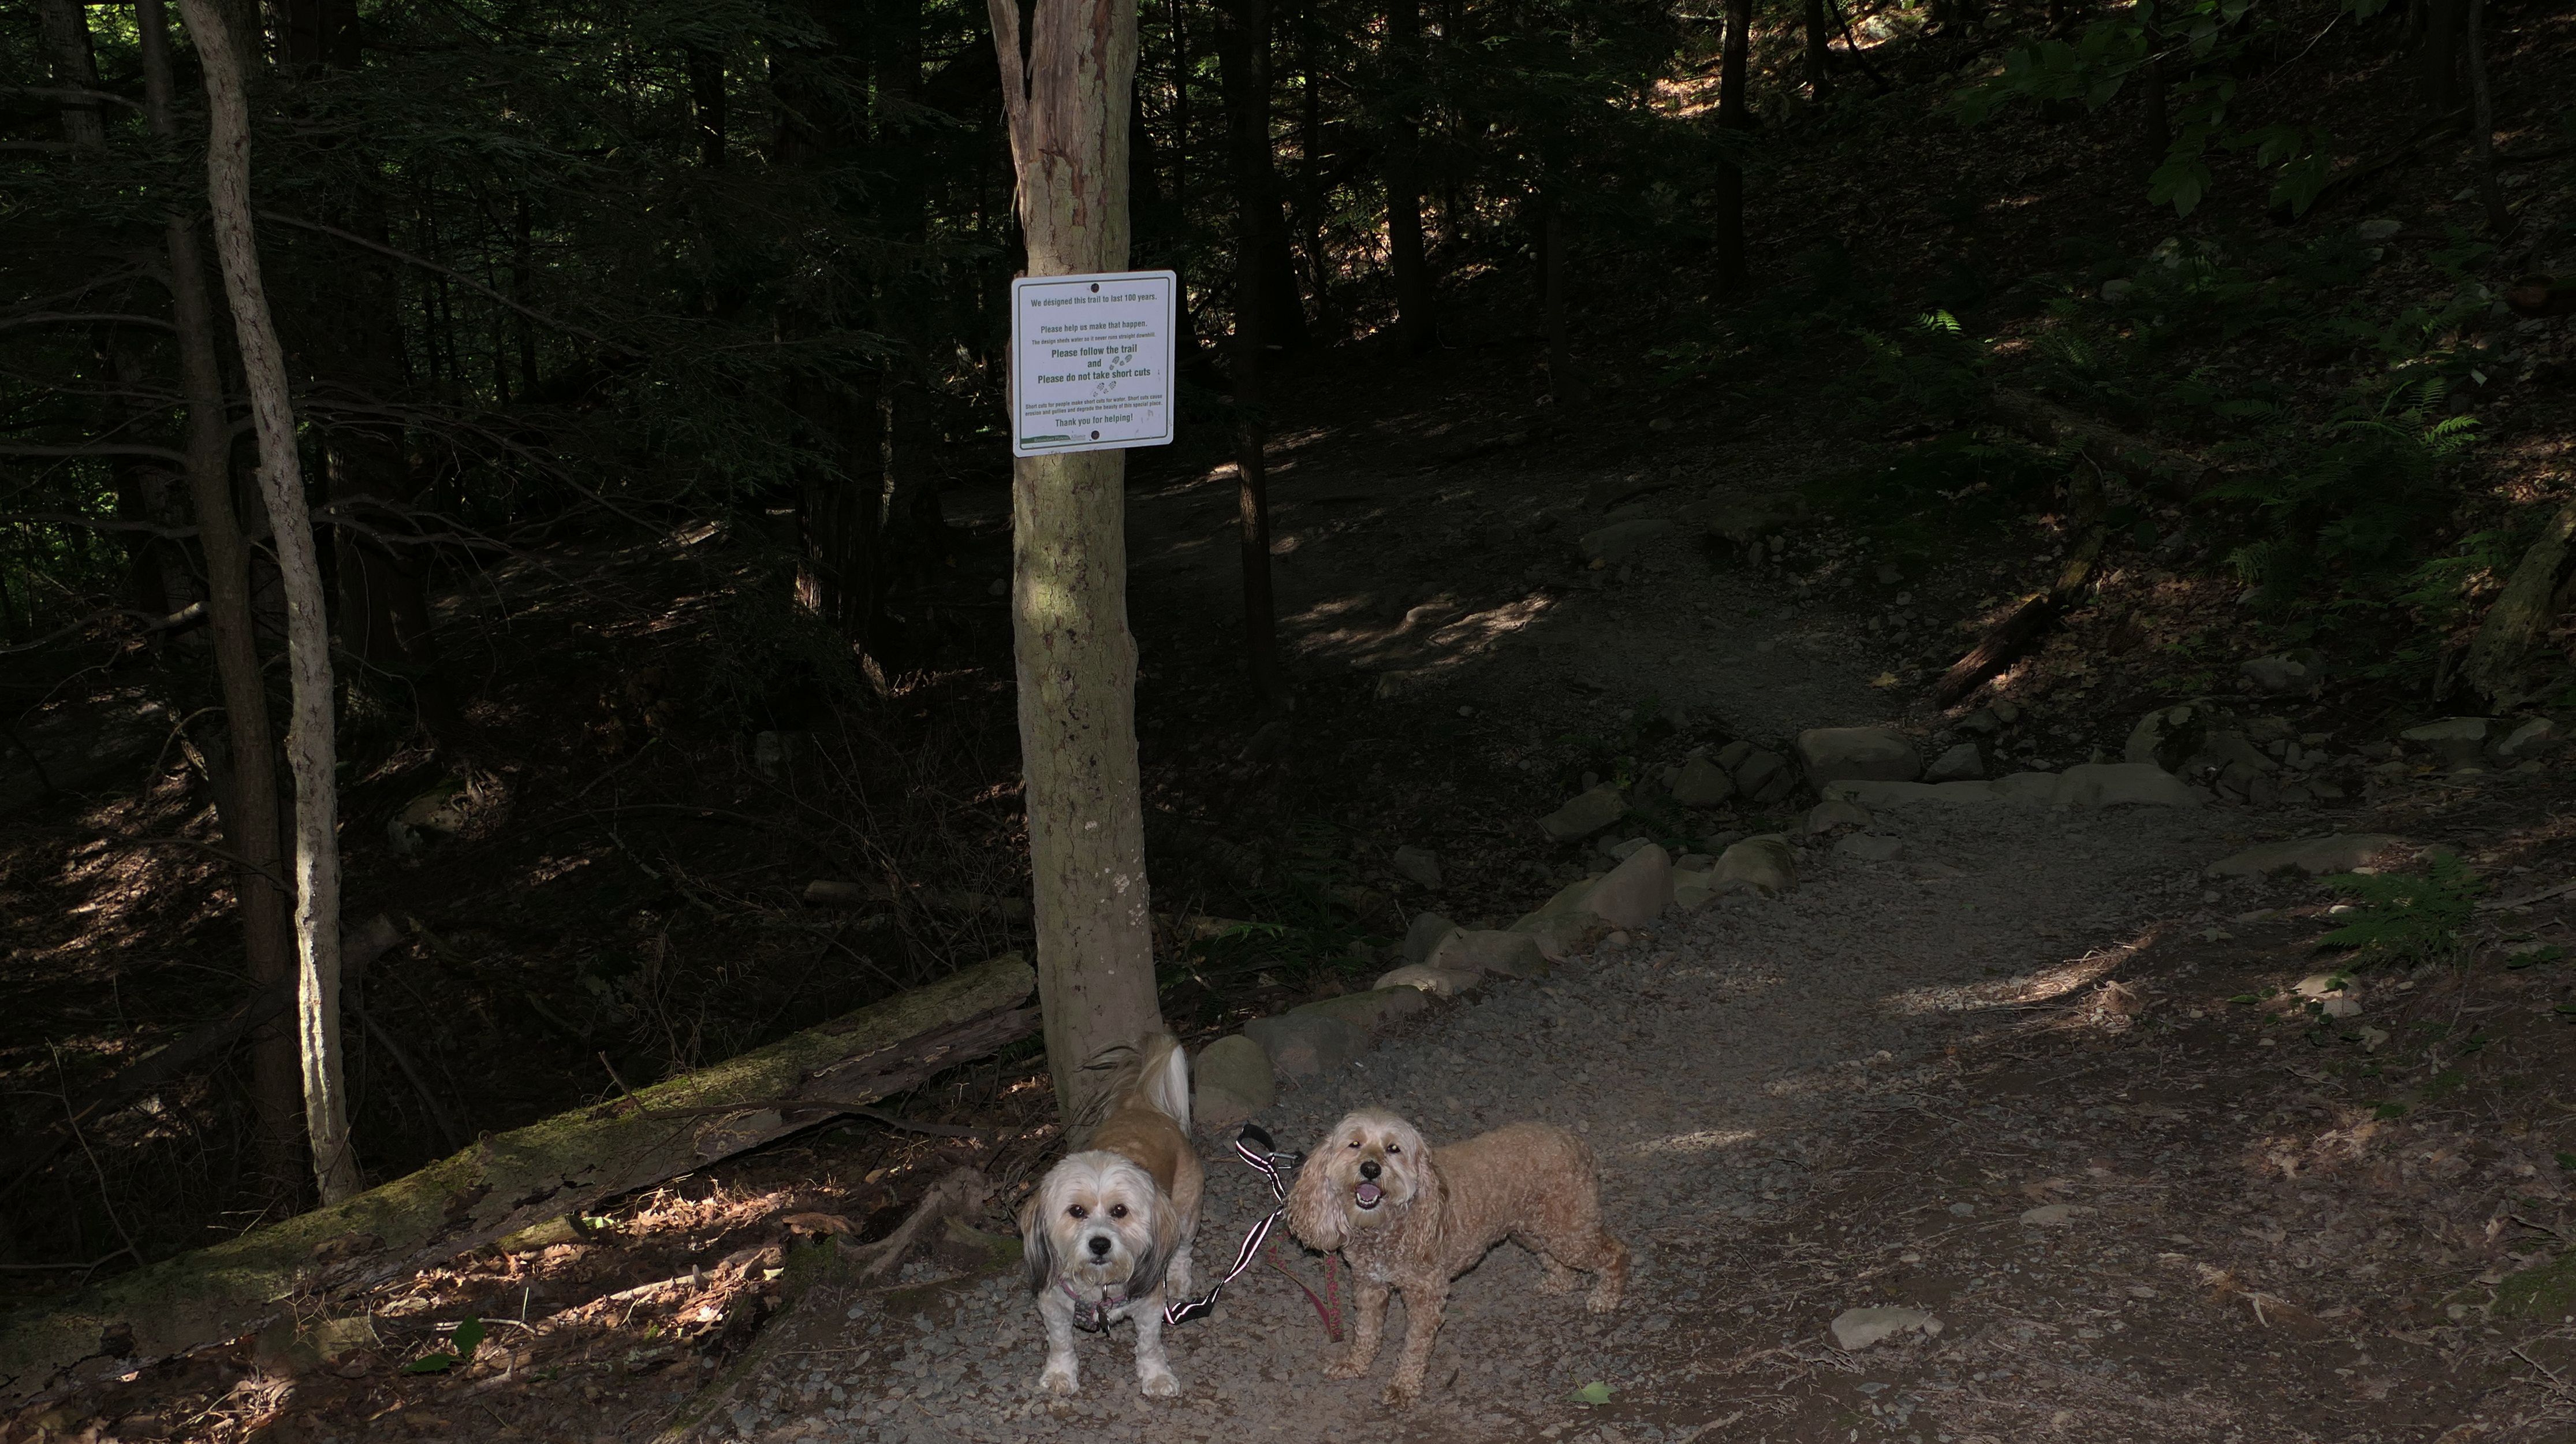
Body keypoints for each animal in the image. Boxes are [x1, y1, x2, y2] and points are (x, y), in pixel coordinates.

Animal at [1017, 1033, 1202, 1398]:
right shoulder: (1054, 1305)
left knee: (1182, 1251)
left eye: (1120, 1211)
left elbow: (1150, 1345)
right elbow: (1061, 1343)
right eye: (1076, 1211)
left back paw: (1177, 1280)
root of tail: (1142, 1106)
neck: (1099, 1287)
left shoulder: (1149, 1306)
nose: (1100, 1244)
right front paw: (1060, 1374)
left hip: (1187, 1215)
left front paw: (1157, 1377)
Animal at [1285, 1108, 1627, 1407]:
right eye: (1354, 1144)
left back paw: (1606, 1296)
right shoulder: (1369, 1285)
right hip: (1533, 1229)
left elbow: (1415, 1347)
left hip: (1568, 1232)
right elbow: (1366, 1332)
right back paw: (1559, 1283)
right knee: (1559, 1261)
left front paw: (1403, 1387)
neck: (1388, 1226)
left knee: (1615, 1252)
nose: (1370, 1168)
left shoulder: (1426, 1295)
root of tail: (1574, 1140)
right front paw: (1355, 1365)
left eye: (1394, 1149)